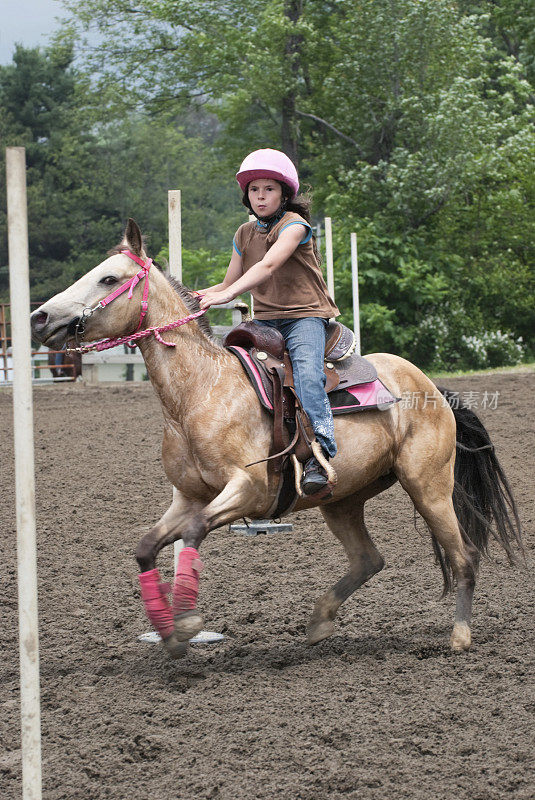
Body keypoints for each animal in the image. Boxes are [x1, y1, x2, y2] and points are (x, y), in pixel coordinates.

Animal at [29, 217, 524, 656]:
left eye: (108, 278)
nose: (39, 316)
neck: (200, 393)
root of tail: (431, 388)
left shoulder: (247, 488)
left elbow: (193, 530)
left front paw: (186, 622)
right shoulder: (188, 497)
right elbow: (148, 547)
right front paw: (167, 633)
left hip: (429, 486)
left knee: (463, 557)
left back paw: (460, 636)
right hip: (343, 499)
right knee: (370, 559)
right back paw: (320, 622)